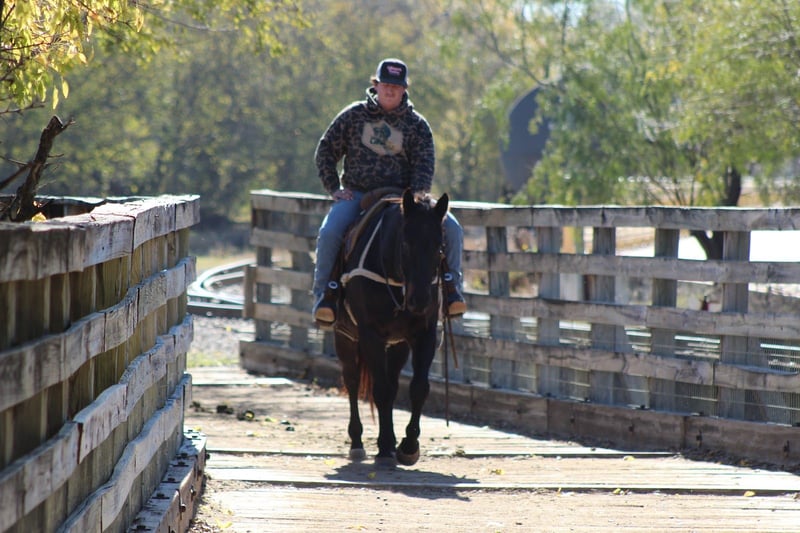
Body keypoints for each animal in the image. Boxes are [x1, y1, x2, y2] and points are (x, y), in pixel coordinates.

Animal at [333, 188, 449, 467]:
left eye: (439, 247)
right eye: (405, 244)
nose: (420, 300)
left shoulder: (425, 335)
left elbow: (418, 388)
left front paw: (408, 445)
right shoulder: (370, 335)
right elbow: (381, 390)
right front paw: (385, 445)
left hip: (397, 346)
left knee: (394, 383)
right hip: (345, 338)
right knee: (352, 381)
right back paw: (357, 442)